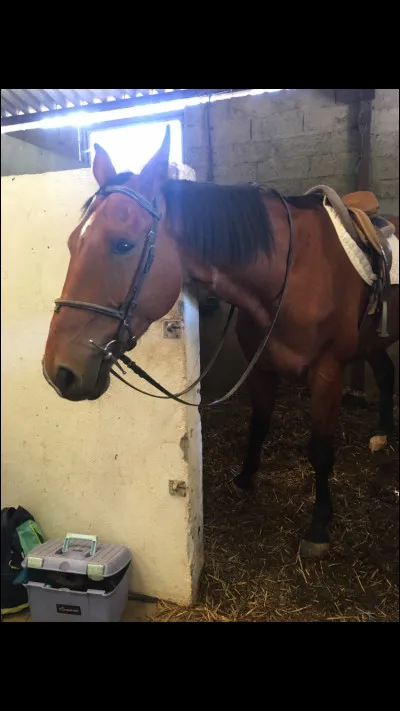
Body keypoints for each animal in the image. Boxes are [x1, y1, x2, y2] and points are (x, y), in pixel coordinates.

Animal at [43, 127, 399, 558]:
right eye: (72, 243)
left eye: (123, 244)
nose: (59, 370)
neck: (294, 271)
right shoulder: (260, 366)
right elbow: (258, 424)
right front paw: (245, 479)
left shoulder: (328, 374)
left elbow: (320, 449)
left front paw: (318, 526)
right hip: (374, 343)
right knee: (386, 372)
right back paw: (382, 432)